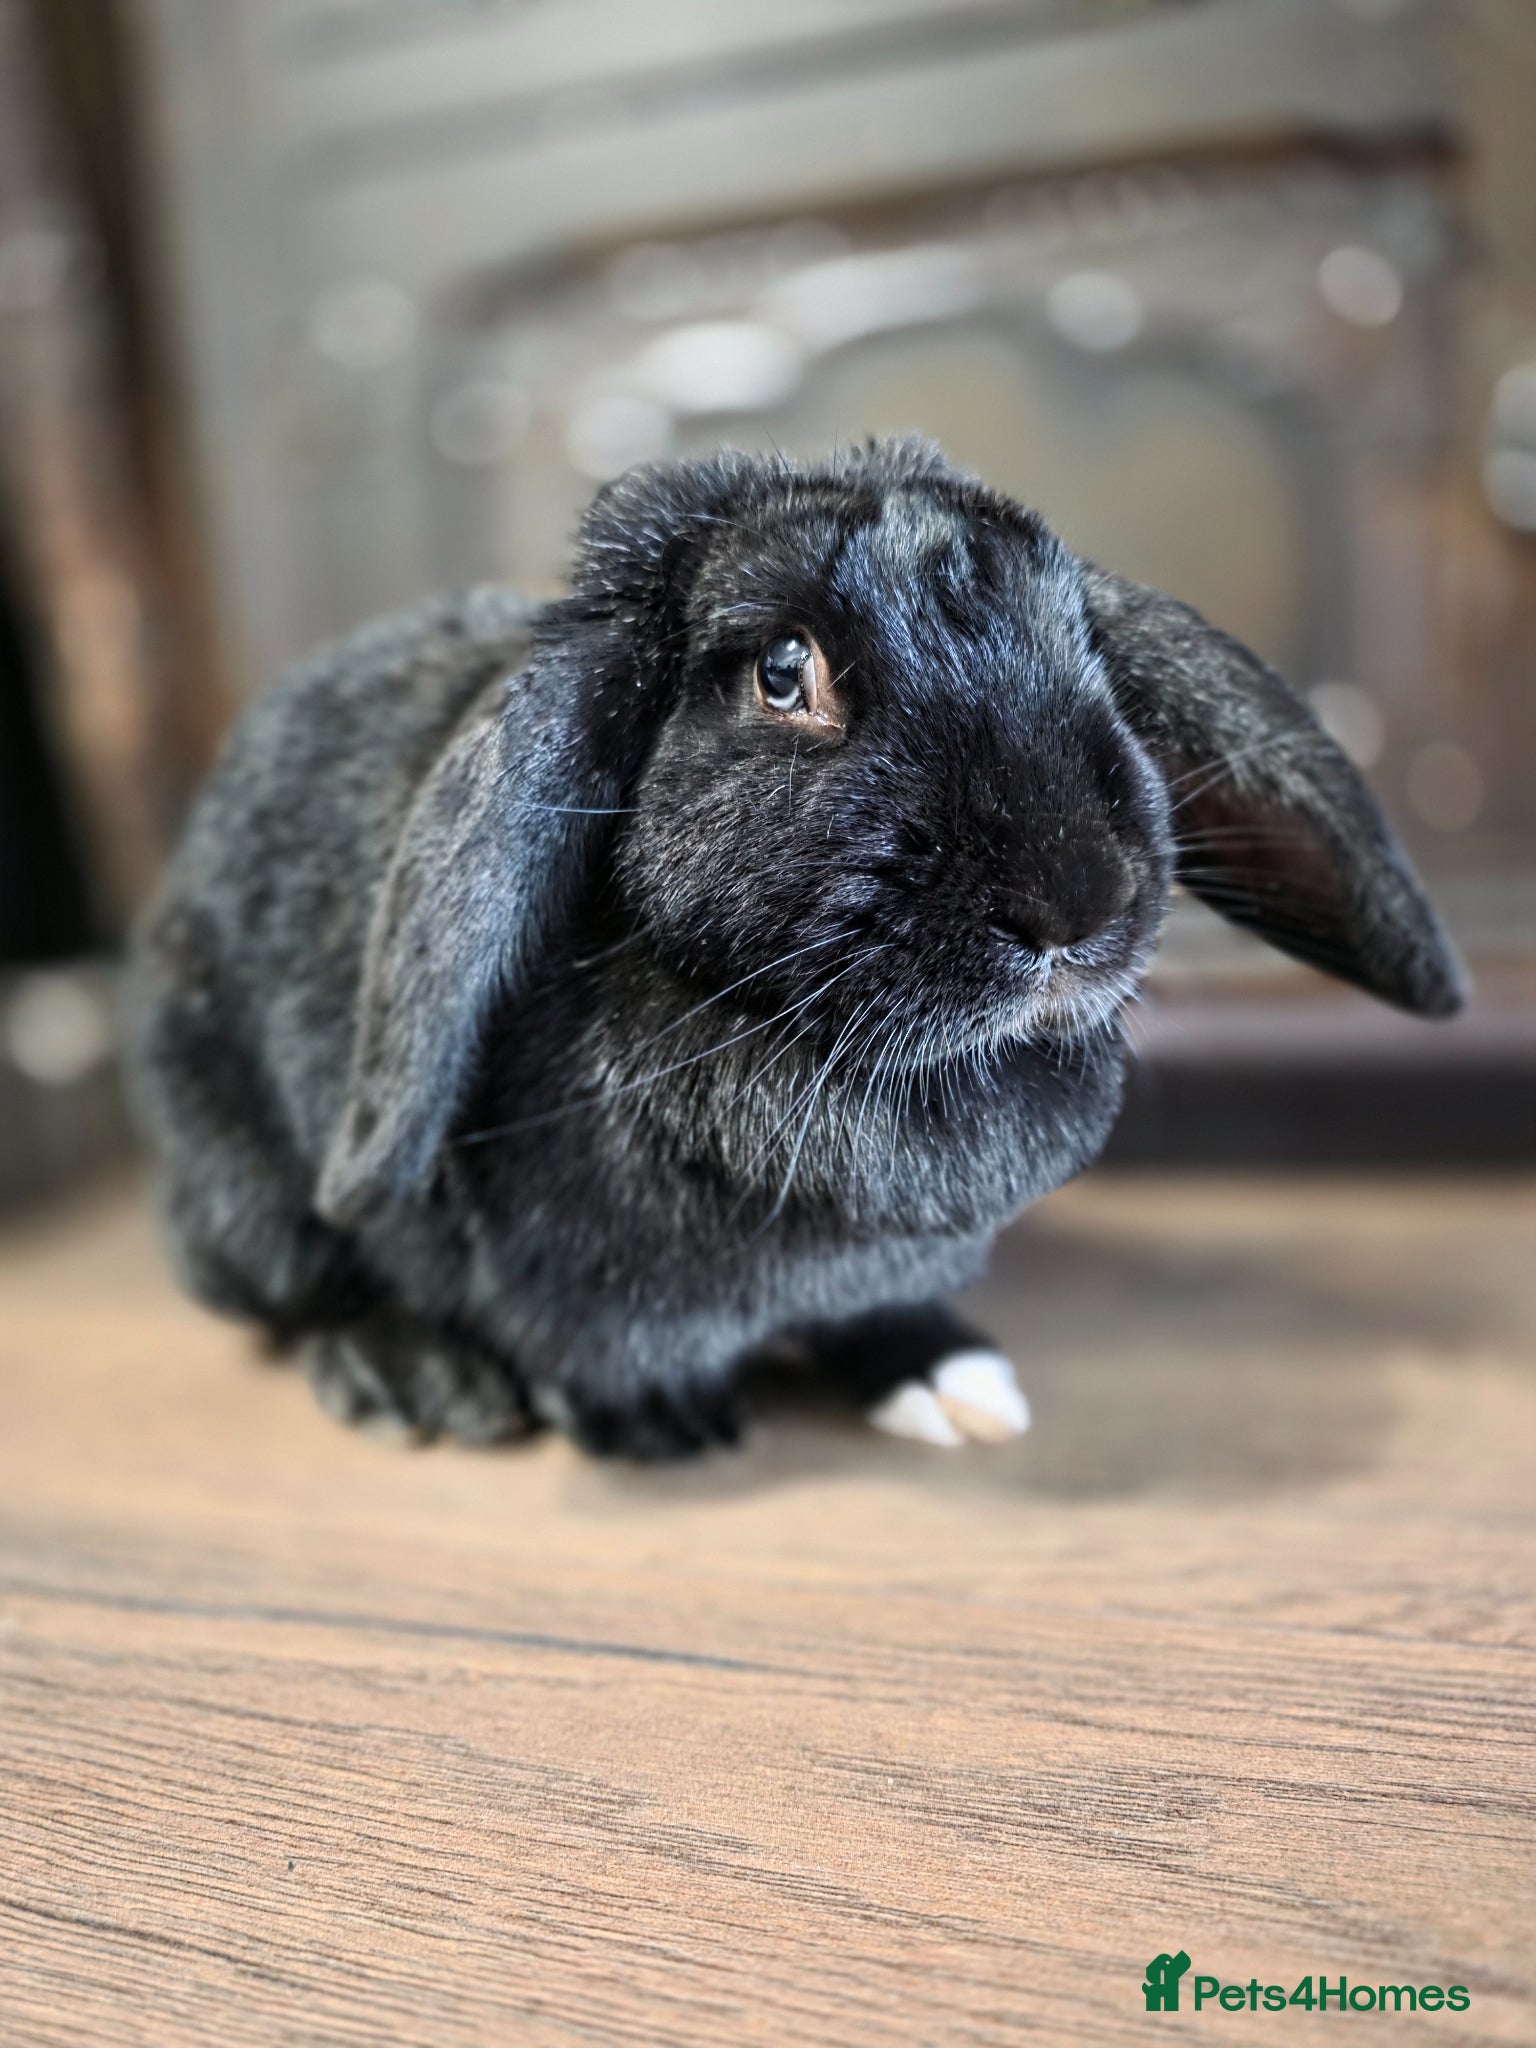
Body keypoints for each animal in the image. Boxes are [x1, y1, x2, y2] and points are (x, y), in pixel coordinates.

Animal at [128, 438, 1466, 1458]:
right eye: (784, 672)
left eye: (1085, 646)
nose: (1077, 904)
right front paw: (658, 1421)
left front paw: (946, 1377)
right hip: (247, 1184)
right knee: (301, 1292)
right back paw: (417, 1376)